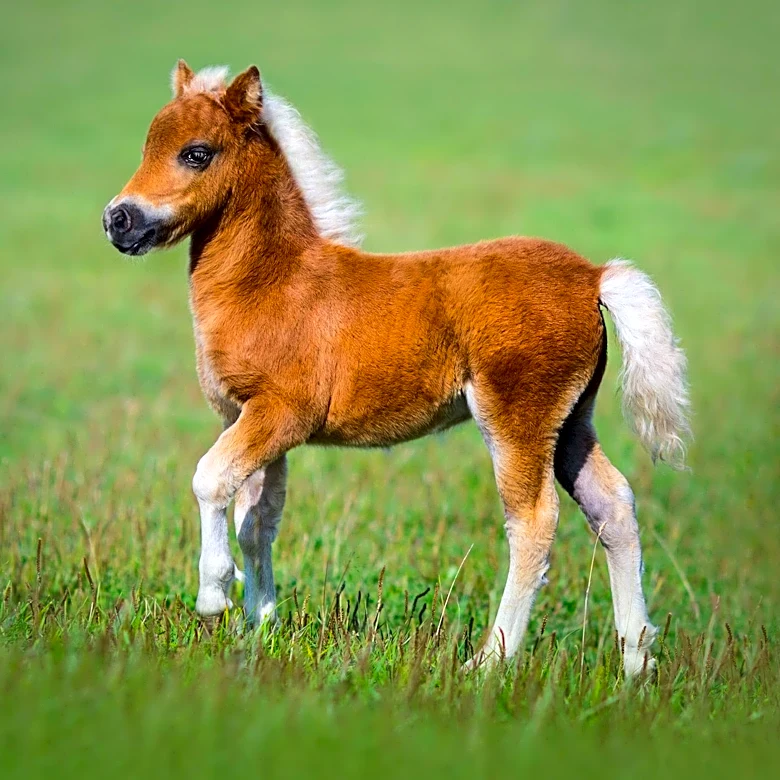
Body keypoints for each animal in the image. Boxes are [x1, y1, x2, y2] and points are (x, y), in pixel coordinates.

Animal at [103, 61, 690, 676]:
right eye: (147, 146)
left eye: (196, 153)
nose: (118, 220)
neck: (275, 282)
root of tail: (593, 275)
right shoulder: (249, 419)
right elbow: (257, 521)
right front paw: (258, 627)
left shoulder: (282, 413)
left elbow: (210, 478)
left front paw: (214, 598)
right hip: (572, 420)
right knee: (613, 507)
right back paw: (636, 663)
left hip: (518, 417)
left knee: (533, 521)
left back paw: (489, 663)